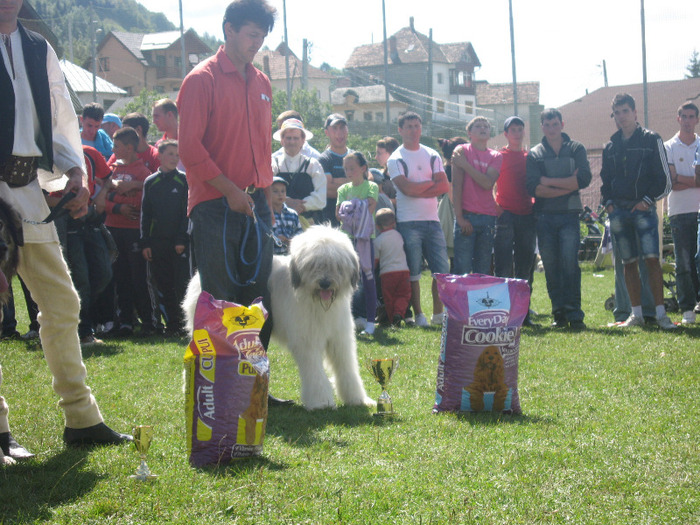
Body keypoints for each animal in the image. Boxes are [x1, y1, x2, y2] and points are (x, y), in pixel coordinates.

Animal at [183, 225, 374, 410]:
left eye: (336, 264)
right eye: (313, 264)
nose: (325, 283)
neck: (319, 305)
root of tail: (196, 277)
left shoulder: (339, 339)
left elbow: (347, 368)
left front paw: (358, 399)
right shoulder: (307, 341)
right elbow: (314, 372)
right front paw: (321, 402)